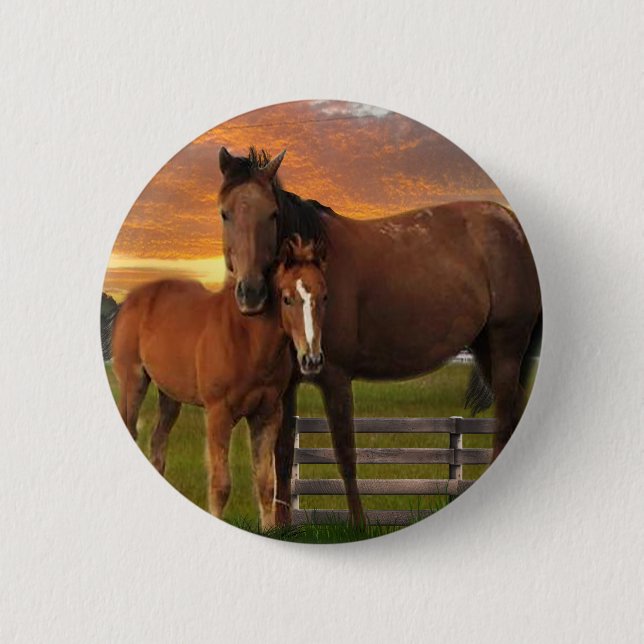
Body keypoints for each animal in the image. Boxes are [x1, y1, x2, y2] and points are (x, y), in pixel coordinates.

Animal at [111, 235, 328, 527]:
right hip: (133, 383)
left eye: (324, 296)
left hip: (170, 396)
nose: (311, 359)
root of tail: (132, 298)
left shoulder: (268, 414)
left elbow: (266, 484)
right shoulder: (218, 413)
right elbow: (221, 484)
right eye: (287, 298)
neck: (248, 341)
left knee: (157, 443)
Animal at [216, 146, 542, 526]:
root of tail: (512, 226)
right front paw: (283, 527)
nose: (251, 293)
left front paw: (358, 523)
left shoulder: (336, 377)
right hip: (486, 349)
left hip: (507, 345)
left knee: (504, 419)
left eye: (271, 214)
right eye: (225, 213)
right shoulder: (287, 386)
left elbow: (345, 452)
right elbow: (282, 453)